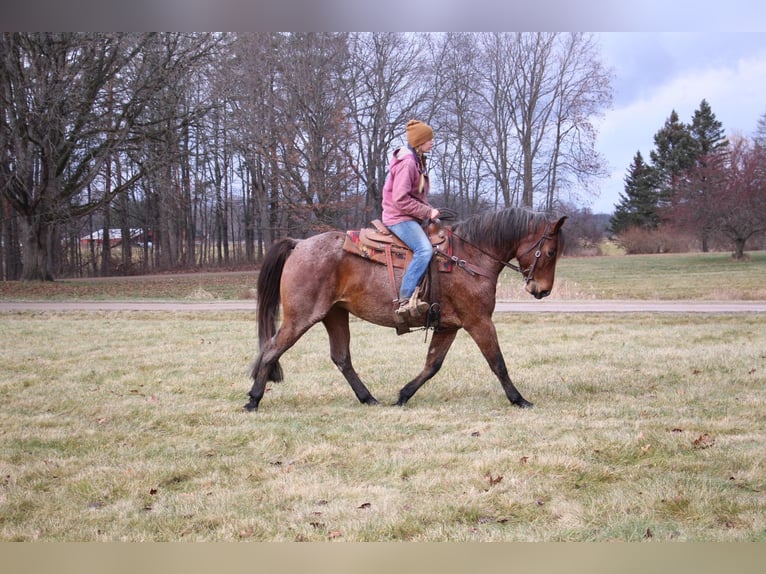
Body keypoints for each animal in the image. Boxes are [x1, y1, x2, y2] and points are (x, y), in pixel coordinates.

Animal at [243, 208, 568, 414]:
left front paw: (402, 396)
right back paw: (253, 400)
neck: (470, 257)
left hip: (334, 315)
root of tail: (299, 245)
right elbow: (497, 363)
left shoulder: (449, 326)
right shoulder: (478, 321)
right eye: (551, 251)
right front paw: (519, 400)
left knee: (342, 358)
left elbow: (432, 364)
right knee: (271, 350)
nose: (542, 289)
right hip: (301, 317)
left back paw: (368, 398)